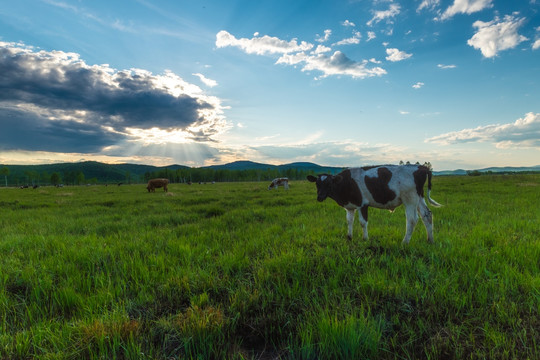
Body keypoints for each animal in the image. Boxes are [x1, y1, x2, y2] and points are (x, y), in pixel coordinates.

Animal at [308, 165, 442, 245]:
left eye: (329, 183)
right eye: (317, 184)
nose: (319, 197)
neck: (346, 183)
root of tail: (421, 167)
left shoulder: (362, 204)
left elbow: (363, 222)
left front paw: (365, 239)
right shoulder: (350, 207)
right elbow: (349, 221)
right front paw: (349, 237)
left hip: (409, 199)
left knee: (412, 219)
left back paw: (404, 242)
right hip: (419, 197)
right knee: (427, 215)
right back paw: (430, 240)